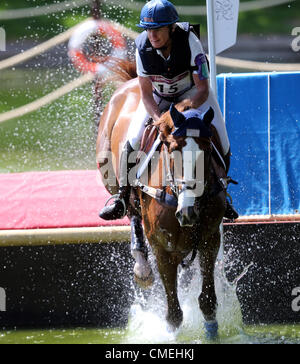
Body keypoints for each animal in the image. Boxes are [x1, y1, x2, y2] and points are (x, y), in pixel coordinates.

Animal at [96, 59, 227, 338]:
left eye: (207, 149)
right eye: (172, 150)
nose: (188, 213)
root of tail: (131, 82)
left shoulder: (210, 239)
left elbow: (207, 300)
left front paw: (212, 333)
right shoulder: (163, 249)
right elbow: (174, 313)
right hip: (109, 174)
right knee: (130, 210)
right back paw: (142, 268)